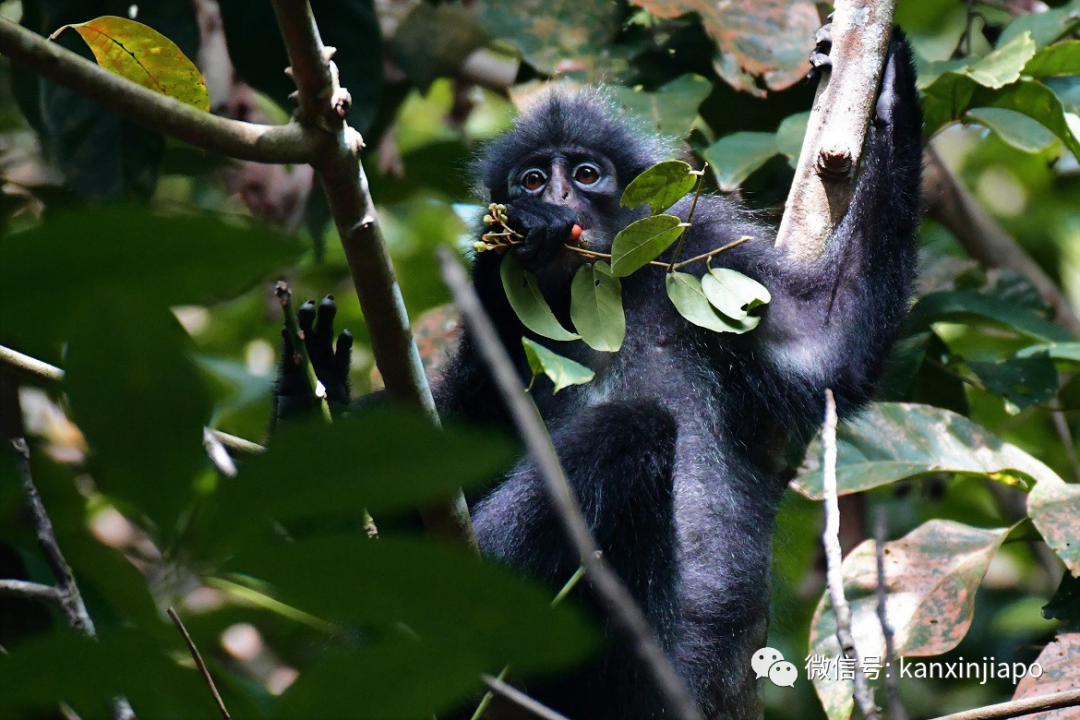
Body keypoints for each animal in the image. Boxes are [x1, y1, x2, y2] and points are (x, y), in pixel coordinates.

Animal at [276, 28, 920, 720]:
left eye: (585, 174)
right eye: (533, 179)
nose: (556, 199)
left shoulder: (700, 250)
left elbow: (827, 345)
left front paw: (889, 89)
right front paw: (506, 259)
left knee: (630, 429)